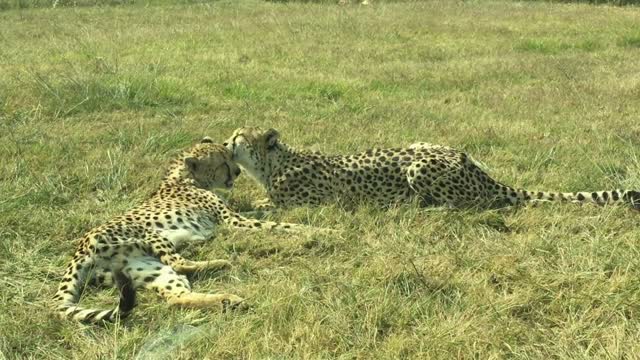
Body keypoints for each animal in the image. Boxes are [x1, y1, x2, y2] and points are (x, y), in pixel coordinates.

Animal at [55, 137, 322, 324]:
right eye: (223, 163)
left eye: (230, 157)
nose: (237, 172)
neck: (184, 178)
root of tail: (79, 250)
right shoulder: (232, 221)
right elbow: (278, 225)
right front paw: (321, 230)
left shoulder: (233, 215)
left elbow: (264, 214)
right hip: (149, 234)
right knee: (180, 263)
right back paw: (221, 263)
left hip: (144, 269)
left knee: (176, 297)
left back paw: (227, 300)